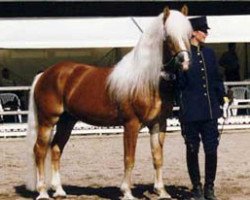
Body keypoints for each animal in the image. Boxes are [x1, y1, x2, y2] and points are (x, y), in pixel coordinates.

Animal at [25, 6, 192, 200]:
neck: (146, 80)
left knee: (56, 149)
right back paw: (43, 192)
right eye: (168, 36)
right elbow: (129, 158)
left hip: (67, 121)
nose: (185, 62)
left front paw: (161, 191)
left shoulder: (158, 124)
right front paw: (126, 192)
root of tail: (45, 74)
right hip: (47, 121)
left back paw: (59, 190)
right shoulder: (131, 124)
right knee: (39, 150)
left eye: (188, 34)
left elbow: (157, 157)